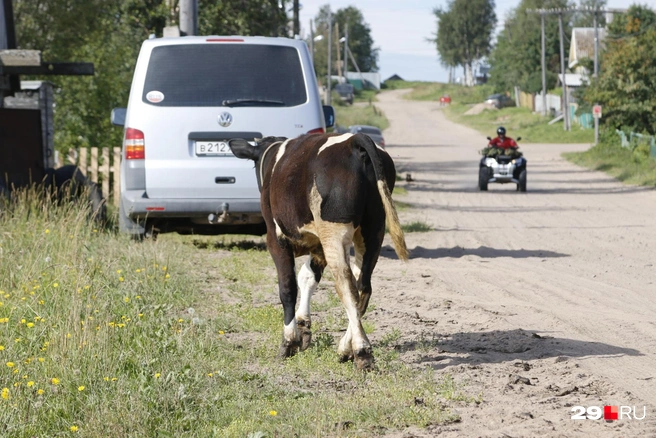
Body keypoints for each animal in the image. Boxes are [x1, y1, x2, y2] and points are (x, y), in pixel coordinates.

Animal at [228, 131, 408, 370]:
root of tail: (355, 140)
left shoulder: (276, 239)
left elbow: (287, 289)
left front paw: (289, 342)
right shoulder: (318, 247)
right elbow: (307, 277)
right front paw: (303, 325)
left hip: (334, 233)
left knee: (347, 287)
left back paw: (361, 351)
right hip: (373, 231)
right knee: (363, 285)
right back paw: (346, 348)